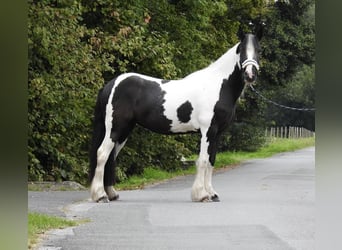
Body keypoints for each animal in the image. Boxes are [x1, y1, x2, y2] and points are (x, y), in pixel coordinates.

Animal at [88, 28, 262, 202]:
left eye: (258, 51)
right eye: (241, 50)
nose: (250, 75)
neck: (218, 85)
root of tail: (110, 85)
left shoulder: (217, 133)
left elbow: (211, 161)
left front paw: (212, 194)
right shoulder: (207, 130)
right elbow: (203, 160)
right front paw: (201, 195)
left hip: (124, 131)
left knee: (111, 158)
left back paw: (111, 193)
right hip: (115, 128)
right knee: (102, 154)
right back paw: (100, 195)